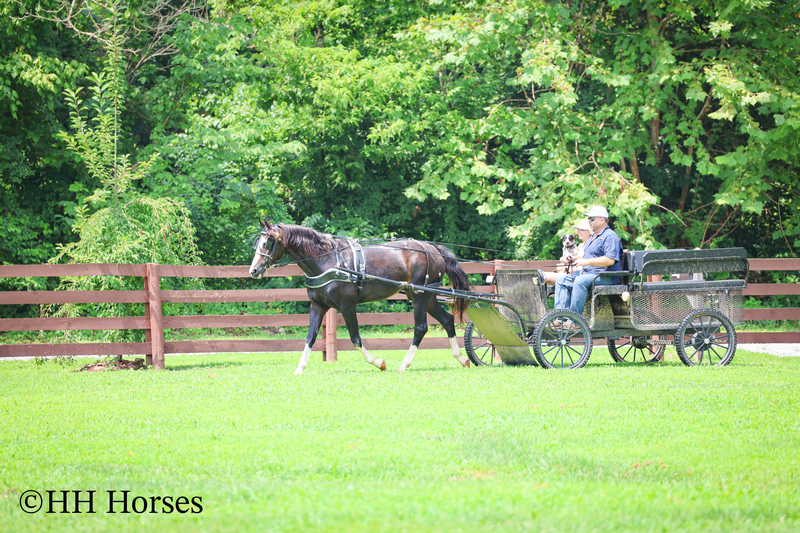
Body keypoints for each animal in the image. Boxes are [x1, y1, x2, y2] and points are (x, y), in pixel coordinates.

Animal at [248, 221, 472, 374]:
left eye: (269, 242)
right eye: (257, 242)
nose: (253, 270)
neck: (328, 260)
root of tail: (432, 248)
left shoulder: (347, 305)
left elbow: (355, 338)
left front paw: (379, 363)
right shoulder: (317, 306)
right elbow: (310, 337)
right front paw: (299, 368)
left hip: (420, 296)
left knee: (420, 328)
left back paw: (404, 364)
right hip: (428, 297)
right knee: (447, 320)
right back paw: (462, 359)